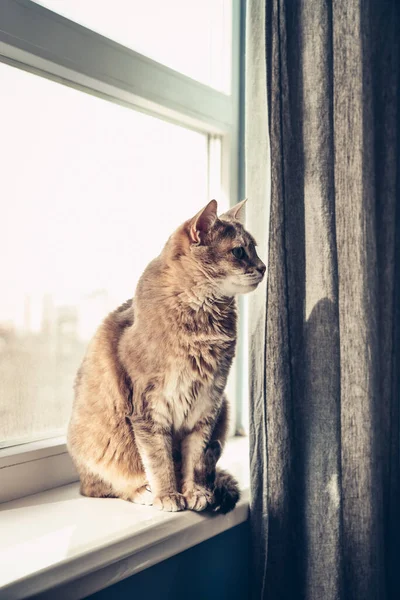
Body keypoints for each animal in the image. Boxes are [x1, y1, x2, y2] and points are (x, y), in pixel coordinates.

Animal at [68, 199, 266, 512]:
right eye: (238, 251)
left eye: (255, 248)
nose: (263, 267)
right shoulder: (149, 409)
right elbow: (158, 459)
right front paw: (168, 494)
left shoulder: (207, 406)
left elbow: (194, 458)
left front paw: (195, 492)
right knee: (100, 487)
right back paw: (143, 491)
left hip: (224, 408)